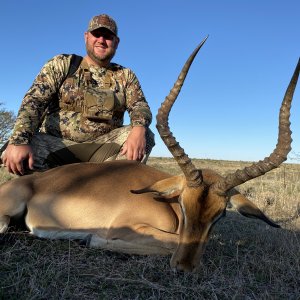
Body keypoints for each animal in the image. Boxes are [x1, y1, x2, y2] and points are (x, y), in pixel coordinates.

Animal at [0, 37, 298, 272]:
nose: (184, 267)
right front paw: (91, 239)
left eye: (221, 215)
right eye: (183, 204)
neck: (163, 202)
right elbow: (170, 243)